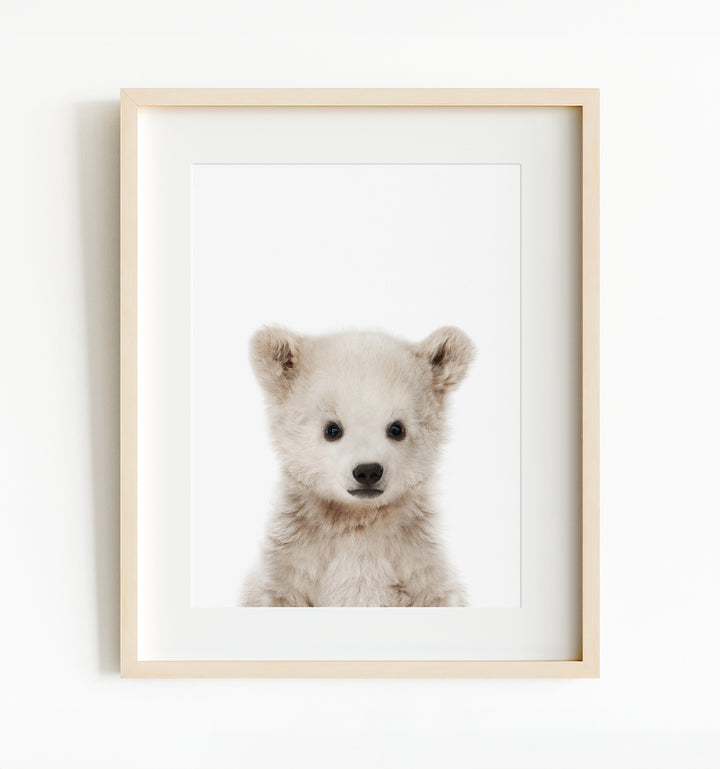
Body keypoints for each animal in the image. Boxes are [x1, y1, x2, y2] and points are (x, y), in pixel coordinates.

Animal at [241, 325, 475, 607]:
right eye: (332, 429)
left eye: (397, 428)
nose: (368, 471)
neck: (357, 518)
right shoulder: (293, 553)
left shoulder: (416, 553)